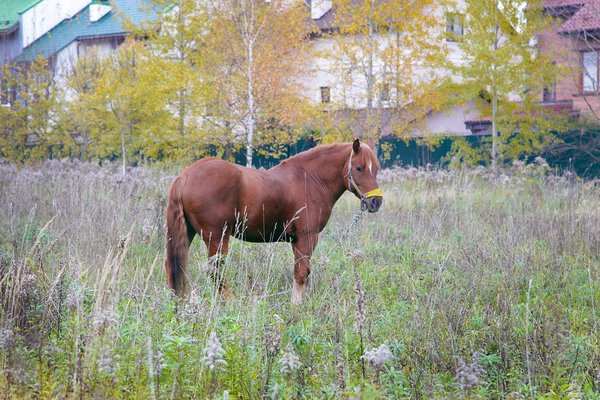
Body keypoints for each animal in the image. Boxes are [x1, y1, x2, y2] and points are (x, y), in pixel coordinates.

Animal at [164, 138, 382, 304]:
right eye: (359, 168)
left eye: (376, 169)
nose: (376, 202)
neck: (310, 179)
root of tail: (185, 176)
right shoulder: (307, 237)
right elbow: (301, 272)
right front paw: (297, 305)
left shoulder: (296, 240)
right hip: (217, 237)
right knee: (216, 271)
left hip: (189, 233)